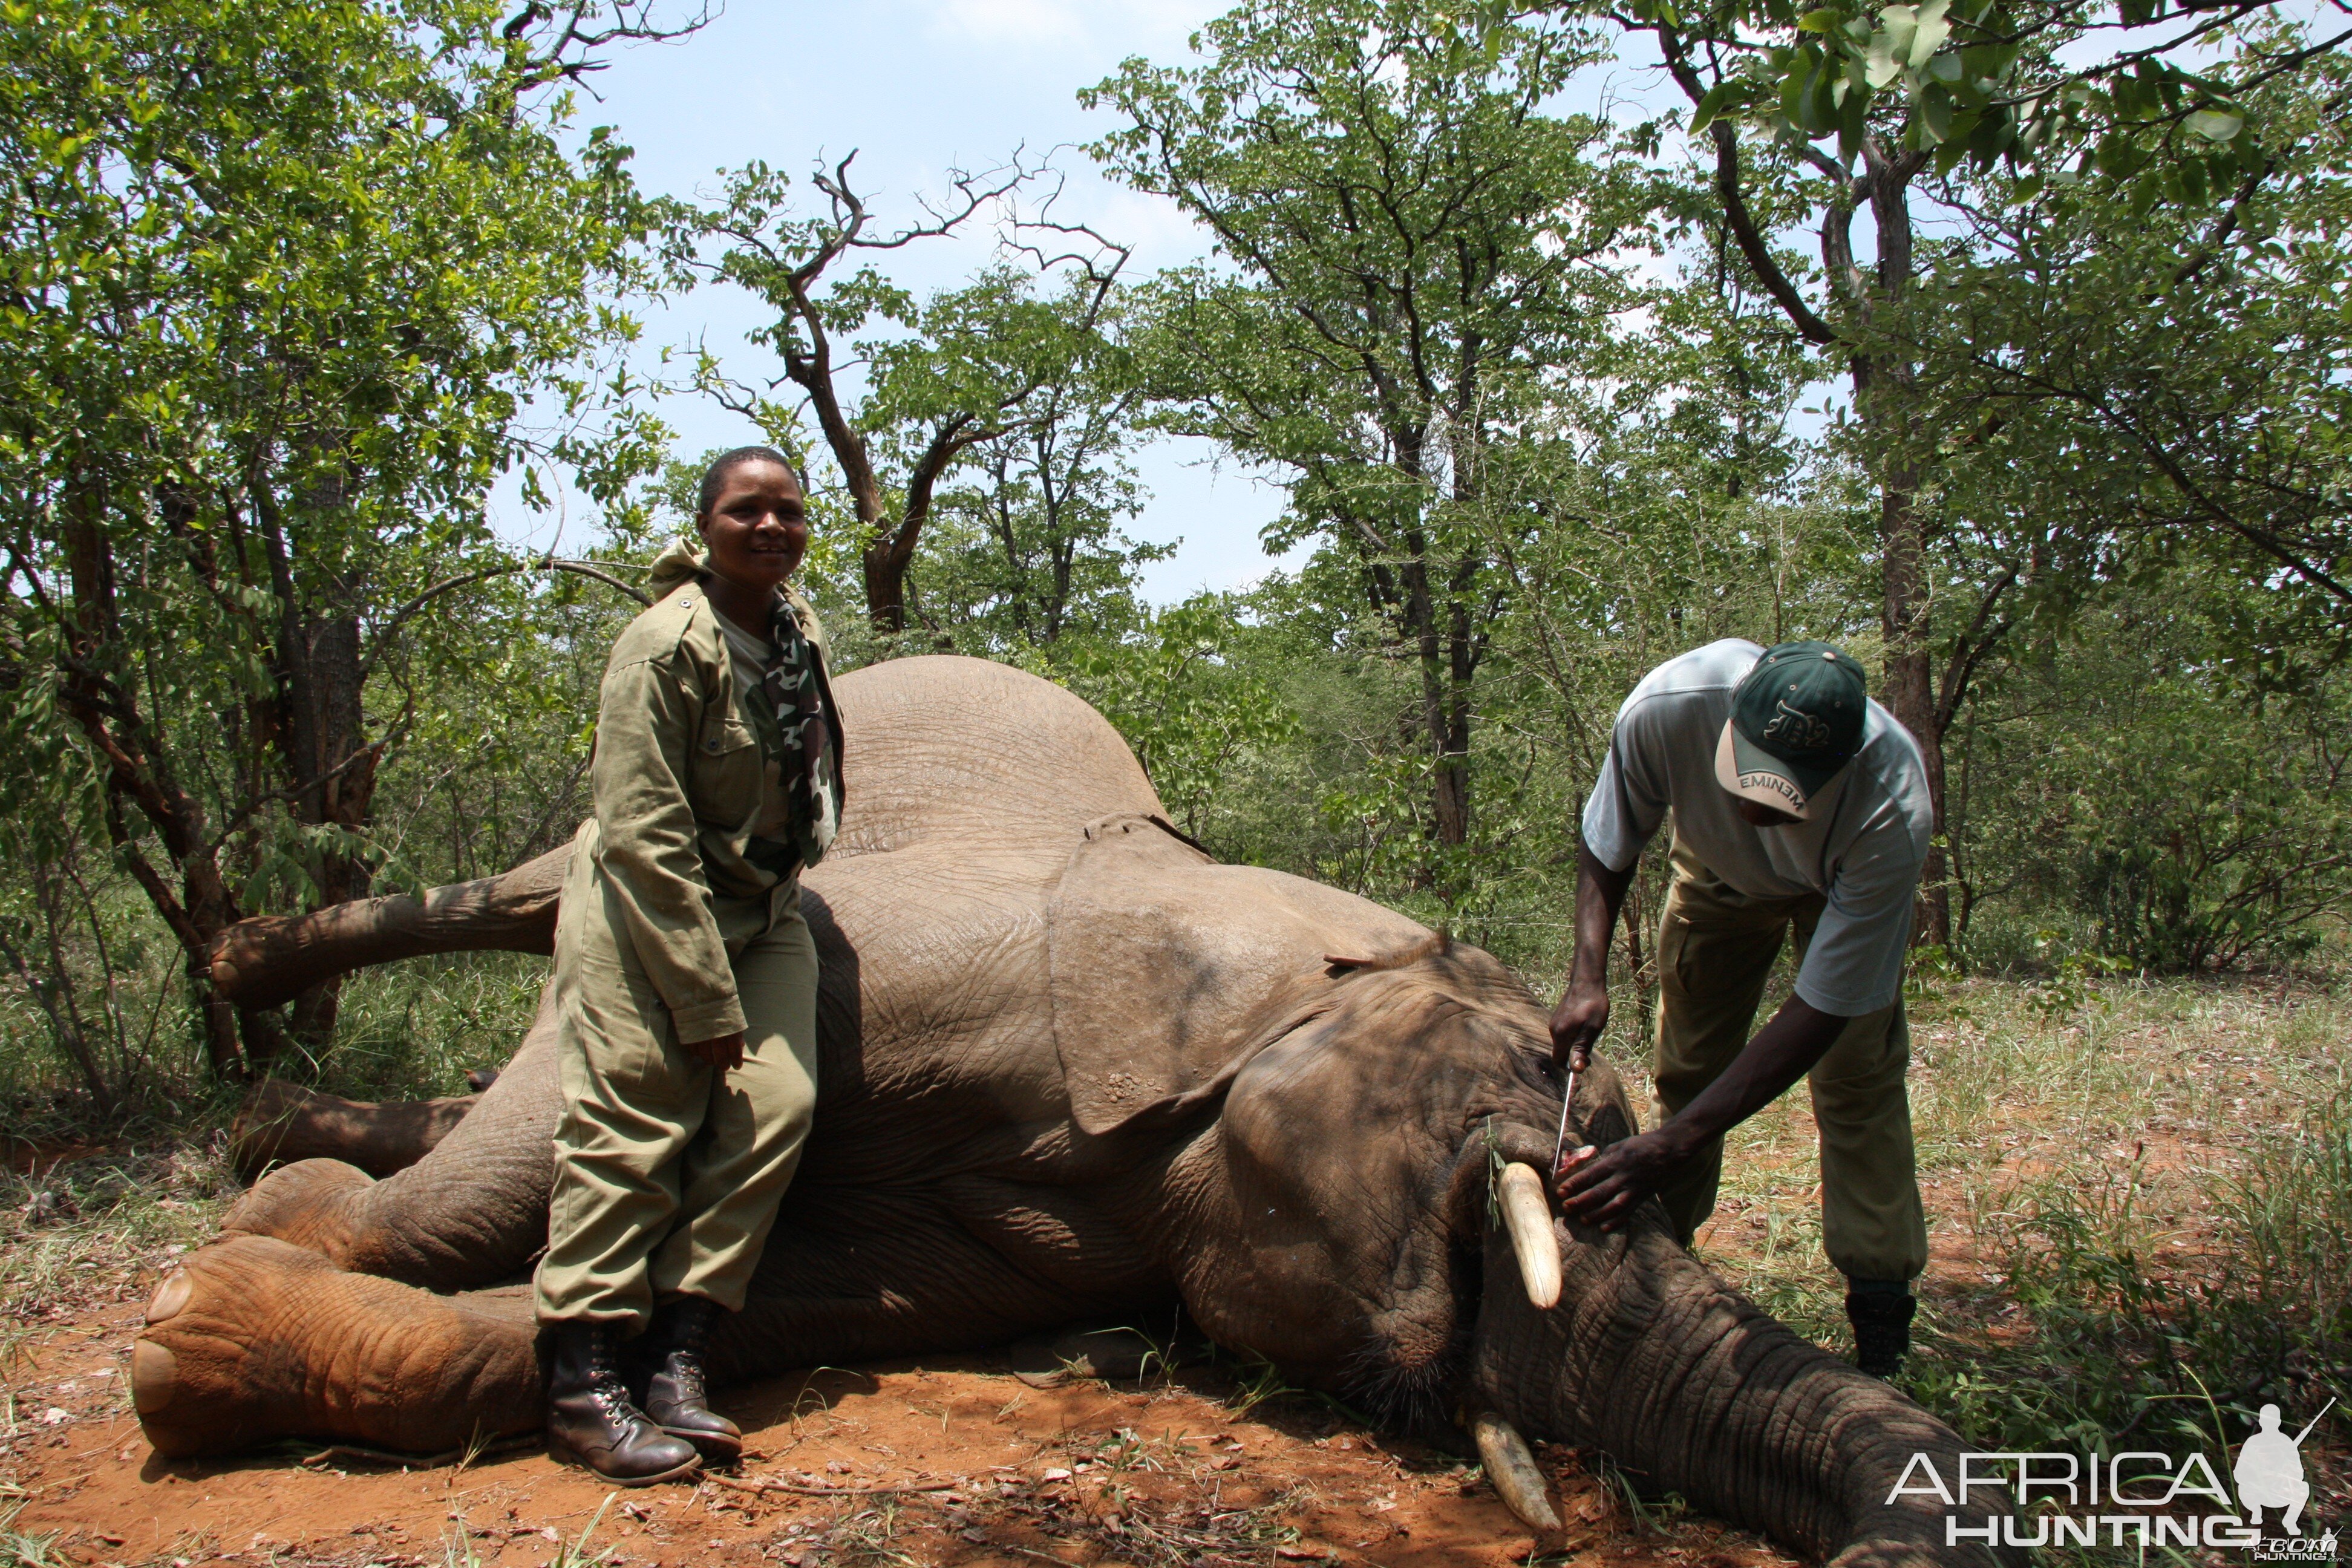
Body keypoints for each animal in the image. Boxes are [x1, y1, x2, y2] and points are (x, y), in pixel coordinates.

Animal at [128, 658, 2013, 1561]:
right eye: (1502, 1162)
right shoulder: (903, 953)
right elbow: (551, 1145)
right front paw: (219, 1283)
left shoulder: (1082, 1227)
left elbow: (806, 1298)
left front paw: (216, 1314)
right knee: (531, 906)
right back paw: (251, 1022)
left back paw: (276, 1119)